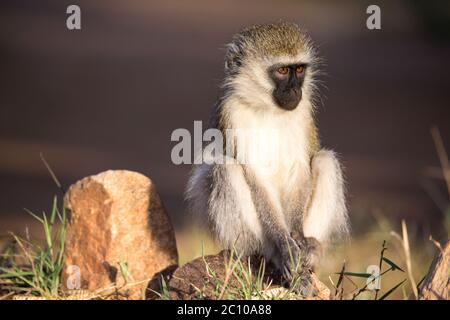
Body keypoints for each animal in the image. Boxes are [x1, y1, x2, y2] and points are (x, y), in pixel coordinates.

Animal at [185, 22, 350, 286]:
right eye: (282, 71)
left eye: (299, 69)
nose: (295, 89)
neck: (268, 108)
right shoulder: (232, 110)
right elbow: (254, 175)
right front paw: (284, 244)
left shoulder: (303, 110)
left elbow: (300, 169)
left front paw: (298, 238)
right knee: (226, 168)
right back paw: (273, 256)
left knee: (326, 161)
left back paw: (311, 252)